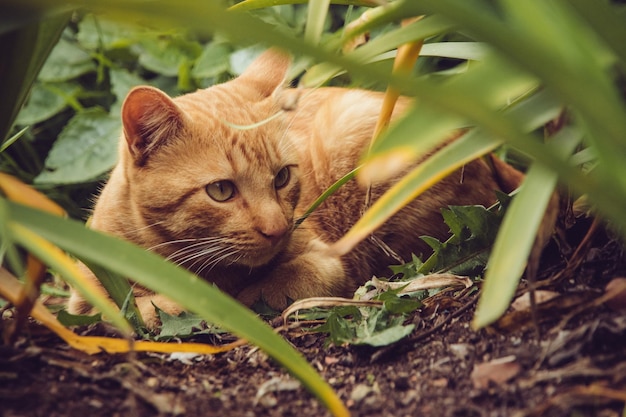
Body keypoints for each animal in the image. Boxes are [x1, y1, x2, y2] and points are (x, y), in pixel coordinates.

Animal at [67, 49, 520, 328]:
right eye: (221, 191)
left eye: (282, 177)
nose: (277, 229)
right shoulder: (82, 295)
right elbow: (130, 307)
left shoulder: (326, 262)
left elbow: (268, 287)